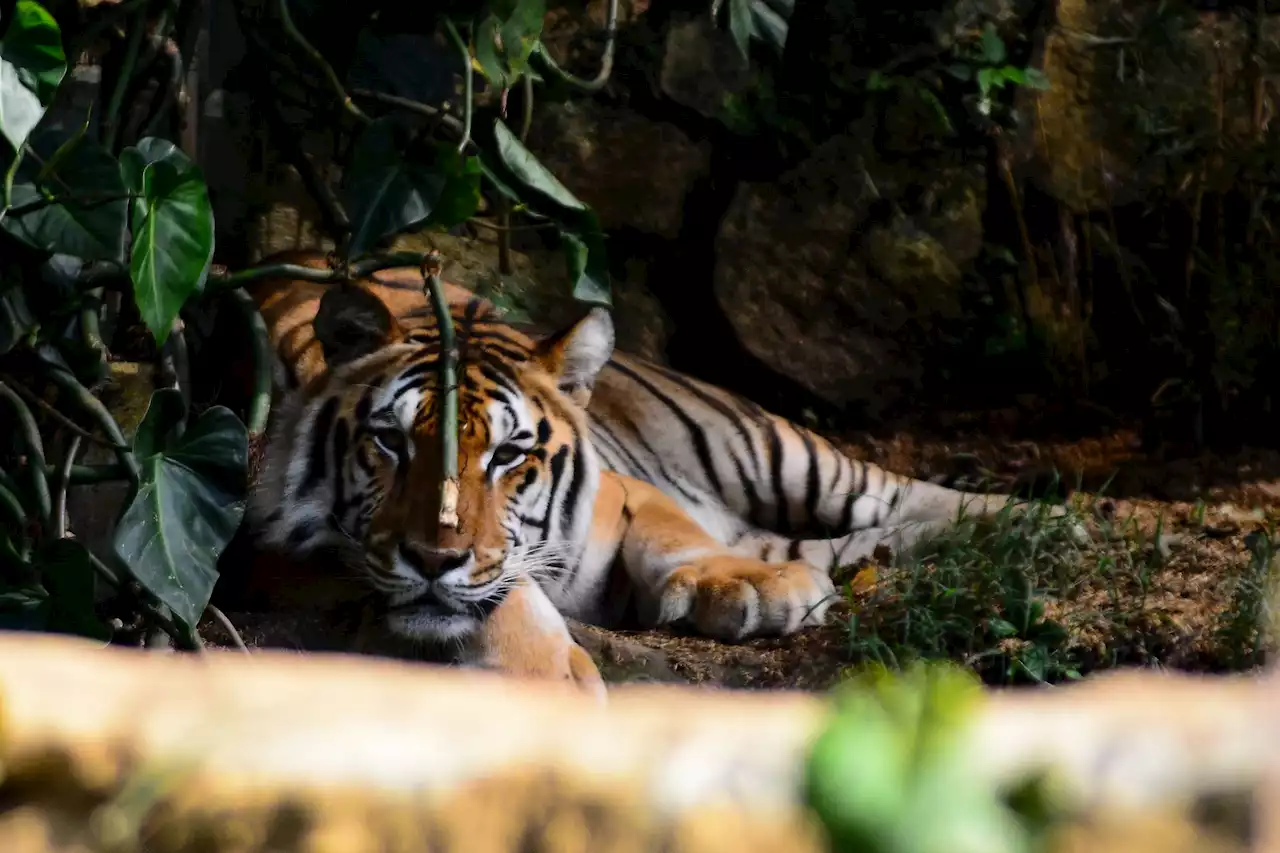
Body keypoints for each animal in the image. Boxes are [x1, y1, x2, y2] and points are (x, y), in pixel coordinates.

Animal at [244, 245, 1044, 691]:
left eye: (508, 454)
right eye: (390, 442)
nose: (435, 558)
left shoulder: (630, 493)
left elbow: (672, 533)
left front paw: (755, 591)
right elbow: (493, 600)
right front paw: (550, 677)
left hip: (770, 447)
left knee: (906, 490)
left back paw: (1049, 521)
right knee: (865, 535)